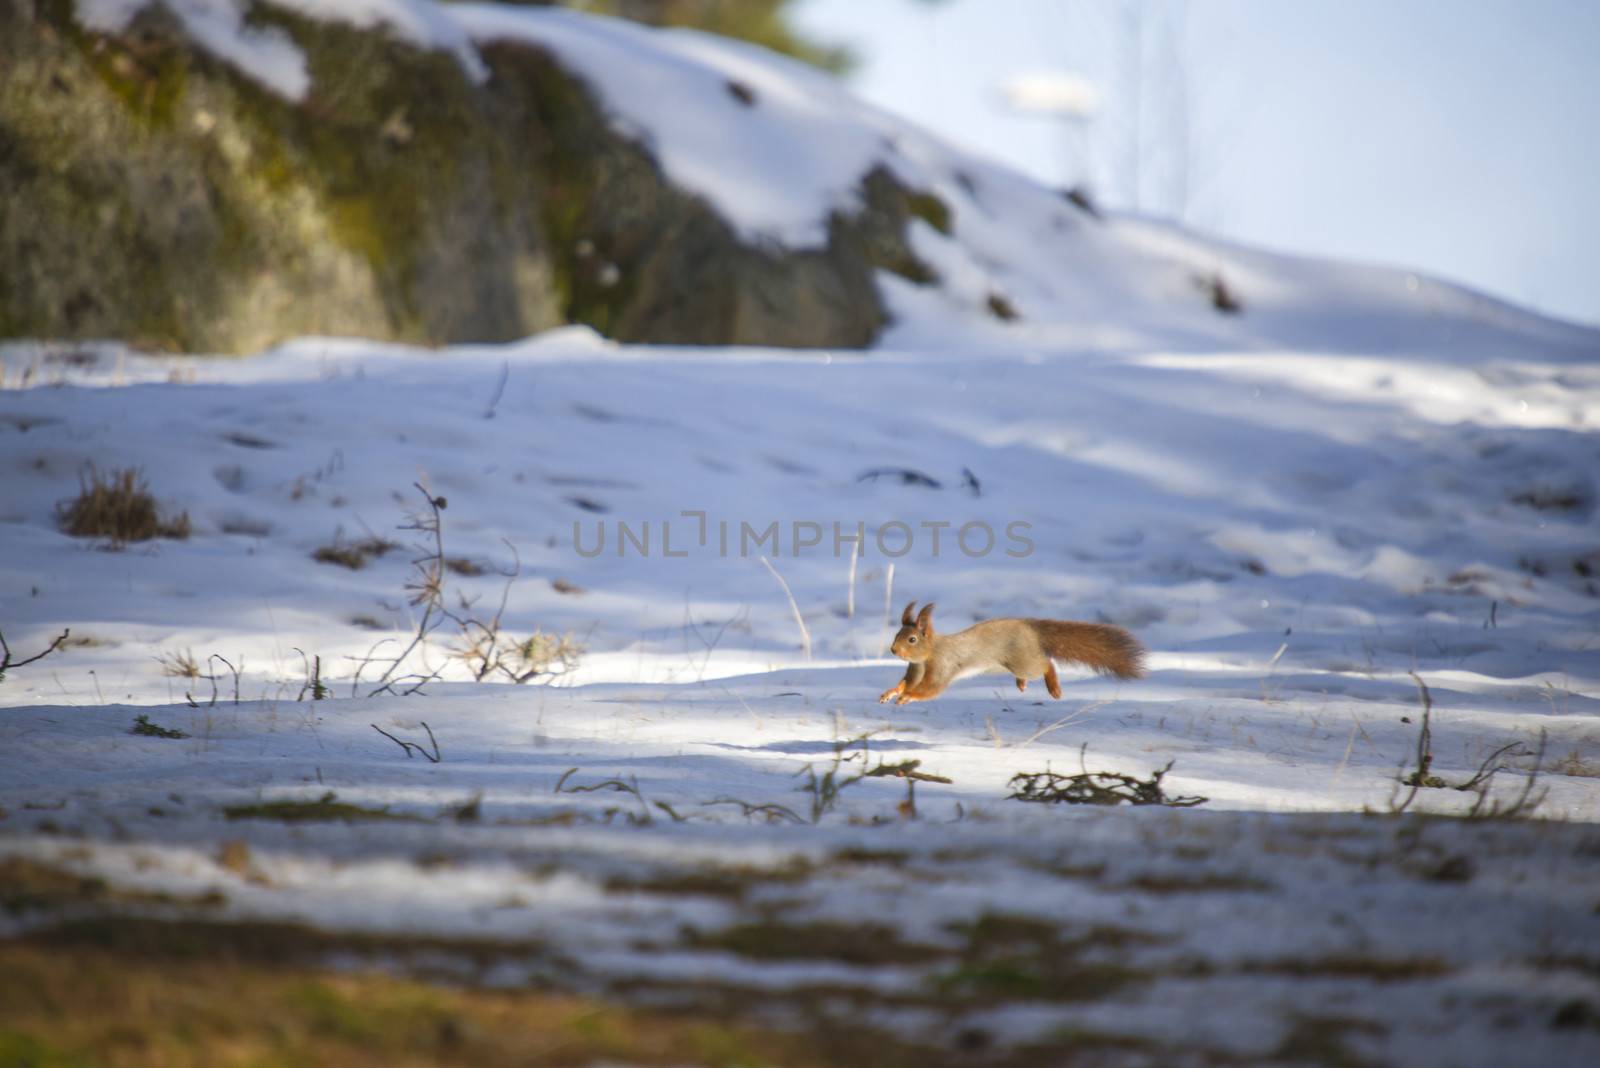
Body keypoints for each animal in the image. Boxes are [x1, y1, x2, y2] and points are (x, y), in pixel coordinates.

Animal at [883, 601, 1145, 700]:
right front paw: (892, 692)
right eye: (897, 635)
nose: (894, 650)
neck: (929, 654)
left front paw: (909, 696)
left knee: (1046, 663)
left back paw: (1053, 687)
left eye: (912, 639)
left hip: (1024, 661)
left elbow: (931, 688)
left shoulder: (943, 665)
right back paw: (1021, 684)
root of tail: (1030, 628)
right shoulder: (915, 668)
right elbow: (907, 682)